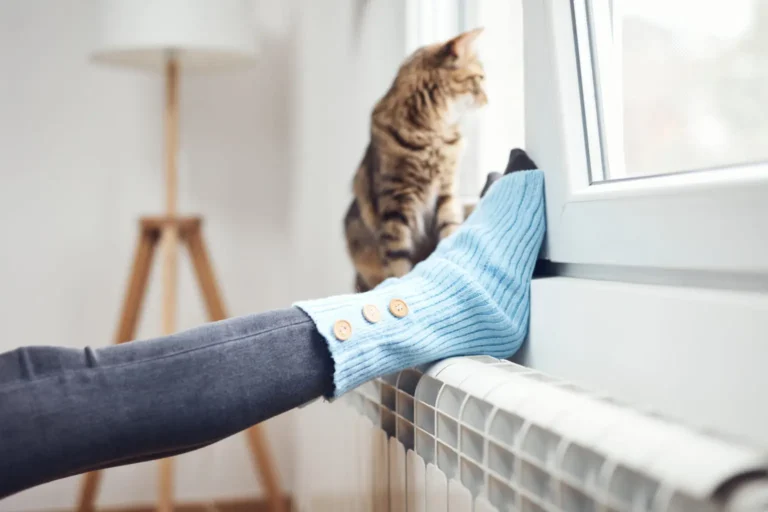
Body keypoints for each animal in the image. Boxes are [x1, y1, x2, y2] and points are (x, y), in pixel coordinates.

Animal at [346, 28, 488, 292]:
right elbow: (398, 260)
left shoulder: (446, 193)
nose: (487, 99)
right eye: (480, 78)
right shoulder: (395, 202)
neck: (432, 134)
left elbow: (449, 232)